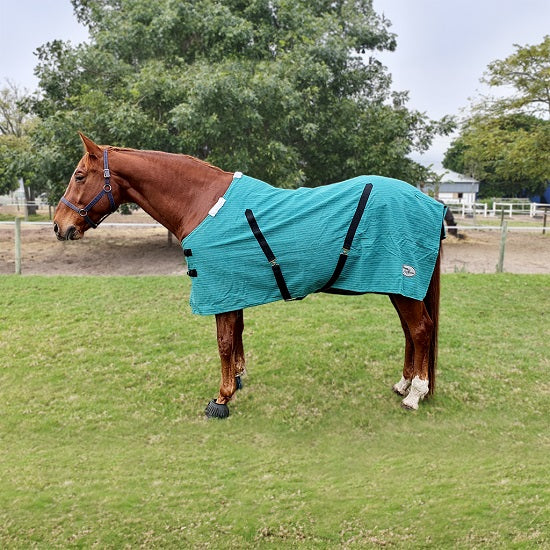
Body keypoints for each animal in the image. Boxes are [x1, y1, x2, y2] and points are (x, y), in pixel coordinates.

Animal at [55, 135, 444, 418]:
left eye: (78, 176)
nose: (60, 226)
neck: (202, 202)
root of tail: (432, 203)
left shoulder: (219, 289)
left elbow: (224, 341)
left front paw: (221, 398)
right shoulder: (233, 289)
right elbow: (237, 334)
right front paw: (238, 379)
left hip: (403, 285)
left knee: (420, 330)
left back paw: (415, 393)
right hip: (398, 287)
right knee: (410, 332)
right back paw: (404, 384)